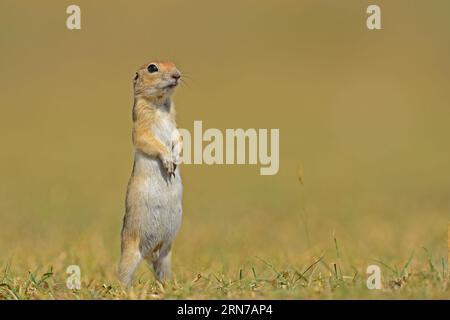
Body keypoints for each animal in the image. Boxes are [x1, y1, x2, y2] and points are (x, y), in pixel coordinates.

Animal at [119, 60, 185, 288]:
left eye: (174, 63)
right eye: (152, 68)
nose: (177, 74)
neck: (160, 105)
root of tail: (151, 253)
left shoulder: (175, 125)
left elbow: (179, 137)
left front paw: (176, 159)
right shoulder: (141, 125)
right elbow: (148, 139)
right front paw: (168, 162)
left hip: (166, 255)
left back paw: (168, 286)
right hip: (130, 251)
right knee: (123, 274)